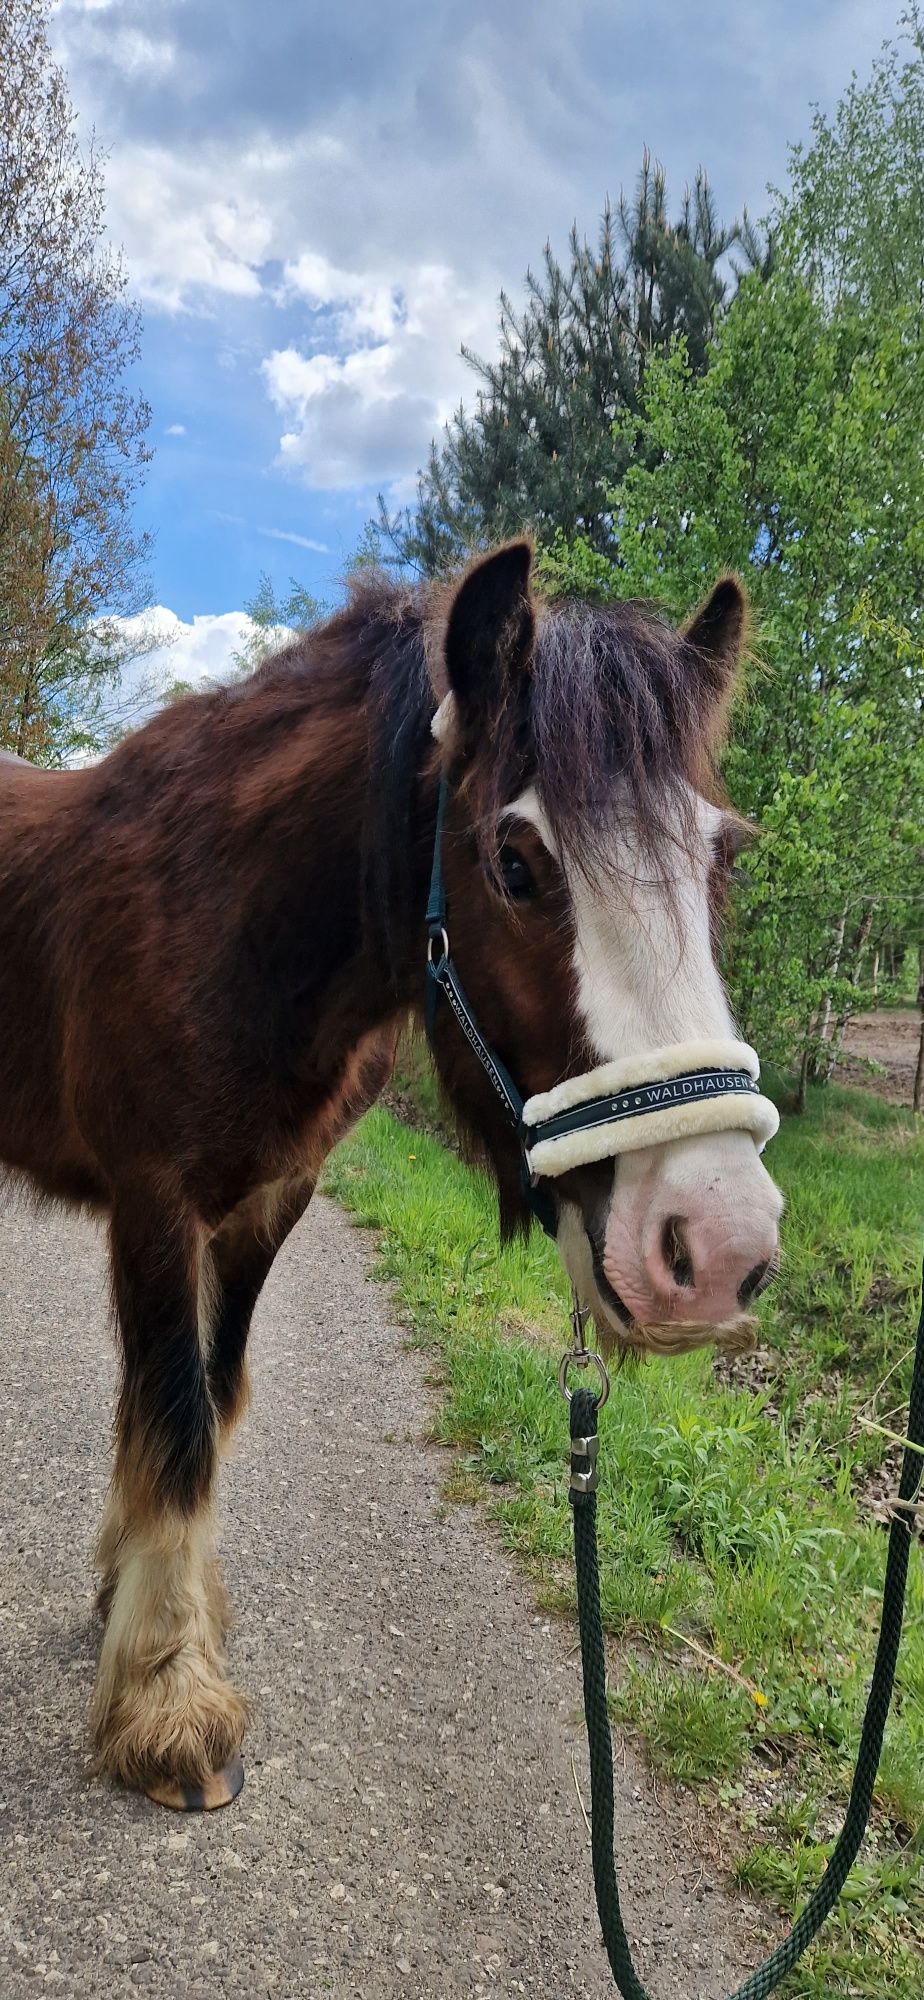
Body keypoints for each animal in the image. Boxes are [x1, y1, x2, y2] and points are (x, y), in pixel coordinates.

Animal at [0, 540, 780, 1808]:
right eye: (515, 860)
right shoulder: (156, 1202)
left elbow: (208, 1397)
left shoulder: (269, 1202)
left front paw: (144, 1605)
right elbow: (173, 1422)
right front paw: (167, 1700)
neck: (230, 919)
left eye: (725, 855)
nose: (718, 1247)